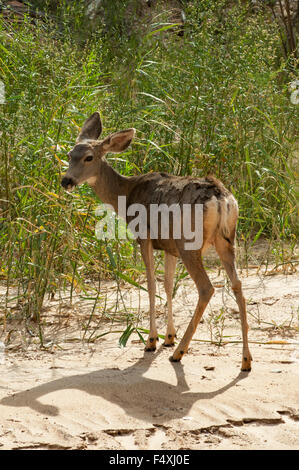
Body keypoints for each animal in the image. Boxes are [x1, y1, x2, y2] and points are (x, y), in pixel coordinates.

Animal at [61, 112, 253, 372]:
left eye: (89, 157)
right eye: (70, 155)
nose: (66, 181)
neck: (126, 194)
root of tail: (222, 198)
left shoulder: (144, 236)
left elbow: (151, 284)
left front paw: (152, 340)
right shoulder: (169, 246)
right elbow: (168, 284)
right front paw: (169, 337)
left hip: (189, 242)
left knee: (206, 288)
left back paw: (180, 352)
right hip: (226, 240)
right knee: (238, 285)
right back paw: (245, 360)